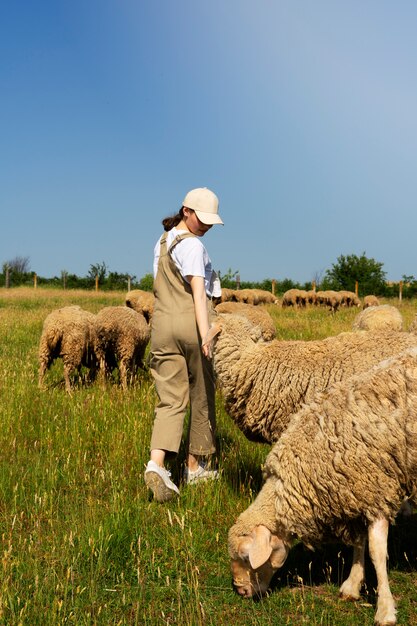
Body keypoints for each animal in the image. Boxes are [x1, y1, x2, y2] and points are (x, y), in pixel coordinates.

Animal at [228, 346, 416, 624]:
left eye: (245, 556)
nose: (240, 591)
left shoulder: (377, 489)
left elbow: (376, 552)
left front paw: (384, 608)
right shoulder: (353, 493)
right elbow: (359, 542)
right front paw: (352, 585)